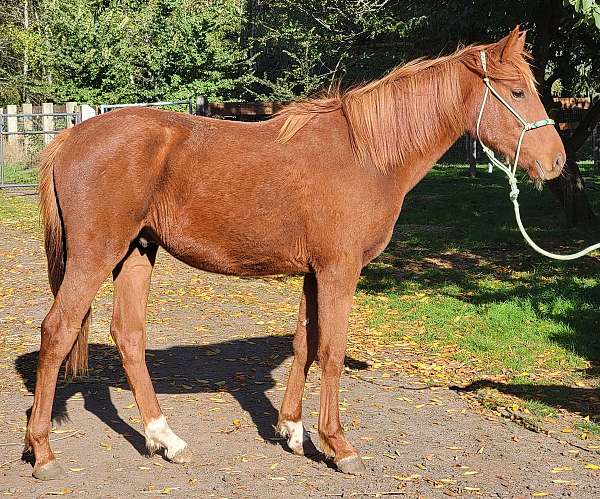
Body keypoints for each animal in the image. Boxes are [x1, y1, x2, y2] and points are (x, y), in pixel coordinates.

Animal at [27, 28, 564, 480]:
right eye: (517, 92)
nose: (556, 161)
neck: (366, 155)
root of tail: (72, 136)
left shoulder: (313, 272)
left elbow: (305, 345)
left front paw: (292, 429)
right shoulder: (339, 271)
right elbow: (331, 352)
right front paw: (338, 445)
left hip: (137, 253)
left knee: (129, 335)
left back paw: (166, 439)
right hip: (96, 256)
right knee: (58, 331)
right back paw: (43, 452)